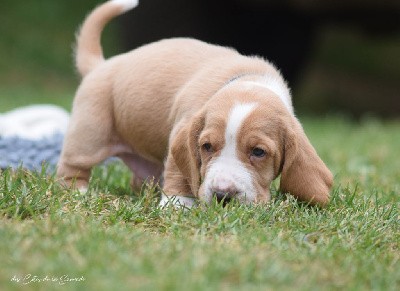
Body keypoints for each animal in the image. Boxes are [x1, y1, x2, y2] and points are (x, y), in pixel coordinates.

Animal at [55, 1, 332, 209]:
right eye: (206, 147)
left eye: (258, 152)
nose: (222, 196)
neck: (249, 79)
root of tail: (101, 65)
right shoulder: (182, 134)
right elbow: (179, 172)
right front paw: (178, 204)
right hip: (89, 136)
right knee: (72, 168)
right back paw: (78, 192)